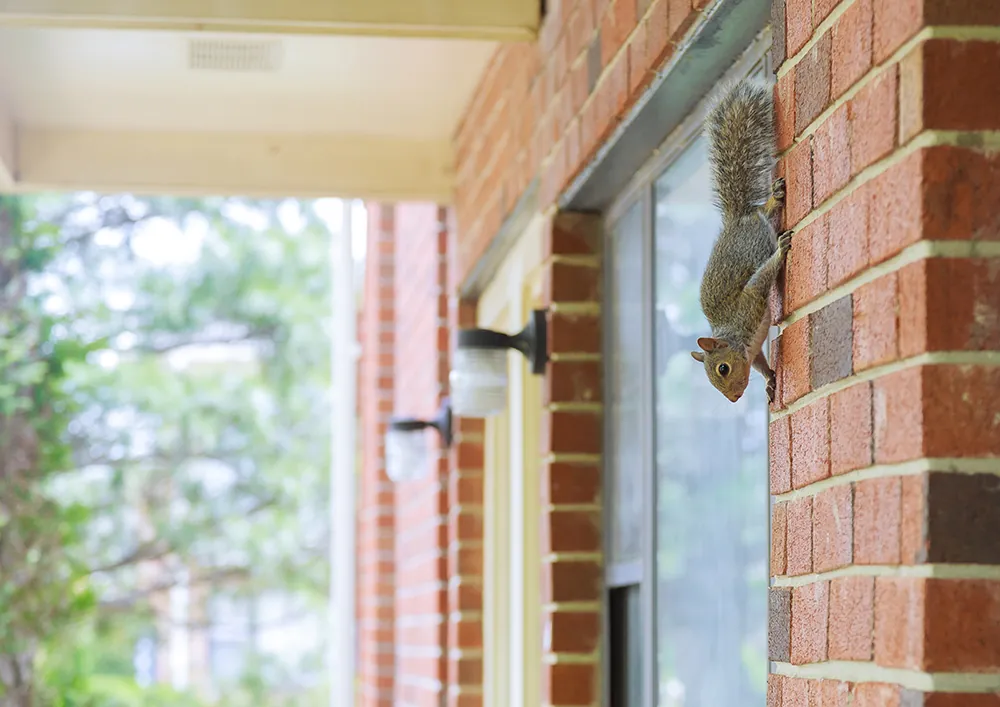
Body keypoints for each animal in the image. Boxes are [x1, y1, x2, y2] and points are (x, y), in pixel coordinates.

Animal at [690, 78, 793, 405]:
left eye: (722, 368)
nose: (734, 399)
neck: (736, 334)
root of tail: (736, 218)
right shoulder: (753, 349)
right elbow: (759, 362)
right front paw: (770, 379)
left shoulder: (749, 304)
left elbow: (760, 281)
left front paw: (781, 252)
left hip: (756, 235)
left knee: (764, 212)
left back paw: (775, 198)